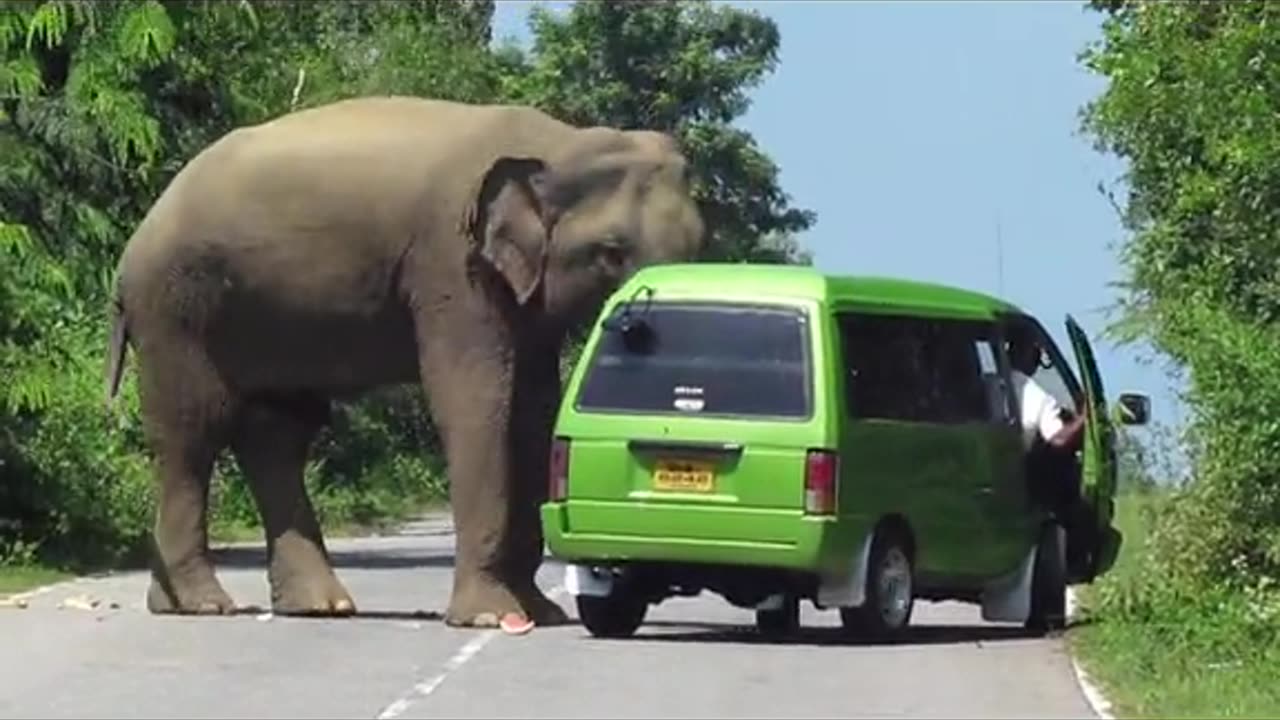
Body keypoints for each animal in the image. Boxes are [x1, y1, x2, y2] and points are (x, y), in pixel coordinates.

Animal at [103, 94, 711, 622]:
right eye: (611, 252)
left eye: (699, 243)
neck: (561, 142)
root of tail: (132, 247)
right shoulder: (450, 262)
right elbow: (476, 403)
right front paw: (491, 618)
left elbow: (534, 409)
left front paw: (540, 614)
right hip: (174, 310)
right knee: (192, 432)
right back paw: (203, 605)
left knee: (276, 434)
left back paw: (313, 606)